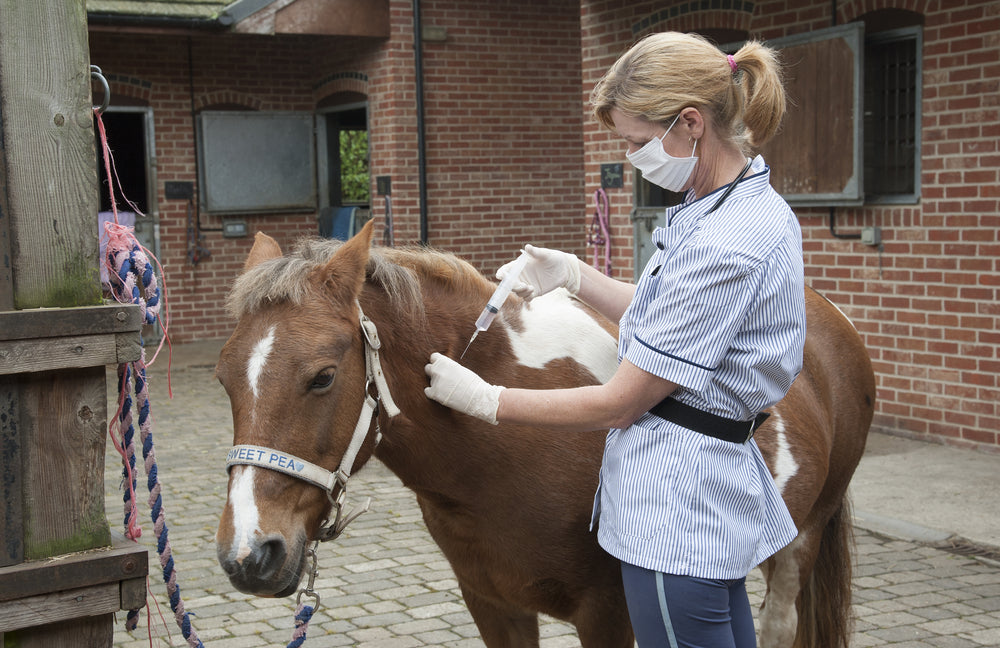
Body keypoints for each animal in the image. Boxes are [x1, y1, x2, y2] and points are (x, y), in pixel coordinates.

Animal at [215, 220, 875, 648]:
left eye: (323, 377)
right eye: (223, 379)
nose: (248, 554)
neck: (496, 452)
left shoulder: (609, 614)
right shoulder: (492, 605)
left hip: (801, 542)